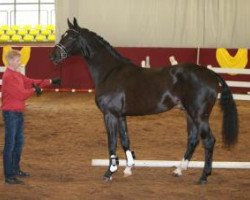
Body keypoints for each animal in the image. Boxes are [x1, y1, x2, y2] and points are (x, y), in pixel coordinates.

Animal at [50, 18, 238, 184]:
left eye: (70, 37)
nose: (53, 56)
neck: (110, 71)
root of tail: (211, 74)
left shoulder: (110, 115)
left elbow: (112, 143)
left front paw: (109, 172)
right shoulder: (121, 116)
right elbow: (125, 141)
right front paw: (128, 168)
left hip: (199, 116)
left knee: (208, 141)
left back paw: (204, 176)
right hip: (189, 114)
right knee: (193, 139)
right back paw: (178, 170)